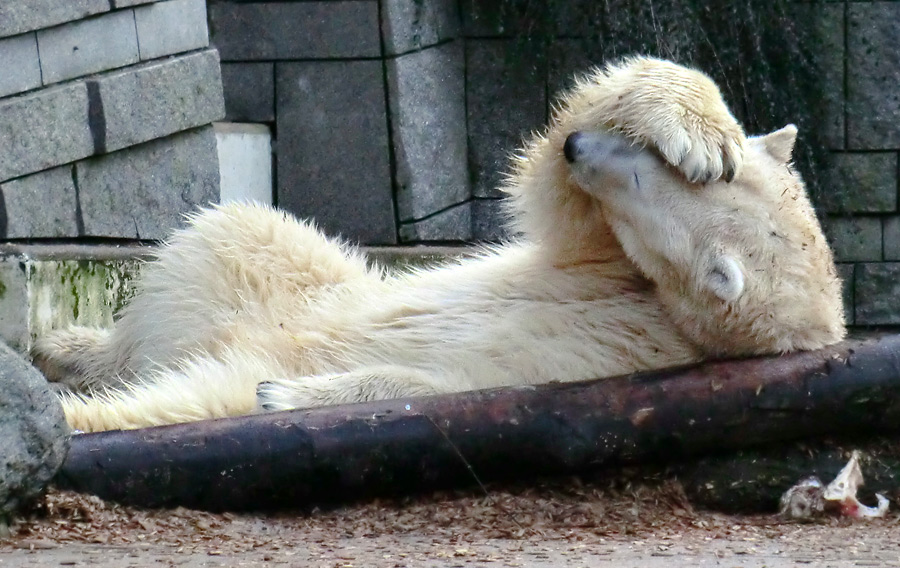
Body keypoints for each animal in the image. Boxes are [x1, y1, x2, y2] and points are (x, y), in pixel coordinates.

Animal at [31, 57, 848, 432]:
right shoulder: (600, 268)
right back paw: (71, 351)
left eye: (645, 180)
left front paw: (287, 395)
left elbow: (452, 386)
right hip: (276, 278)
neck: (664, 311)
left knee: (188, 391)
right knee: (227, 232)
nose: (585, 149)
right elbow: (553, 201)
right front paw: (698, 127)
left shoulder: (613, 360)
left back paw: (79, 406)